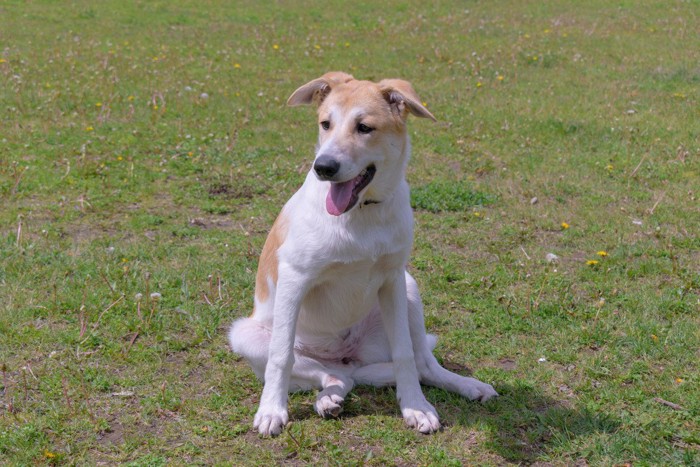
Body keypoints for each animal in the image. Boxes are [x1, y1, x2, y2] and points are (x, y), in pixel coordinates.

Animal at [230, 71, 498, 436]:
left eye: (364, 127)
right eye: (325, 123)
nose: (323, 167)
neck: (361, 214)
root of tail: (348, 359)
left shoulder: (393, 279)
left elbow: (404, 355)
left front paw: (415, 407)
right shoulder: (294, 278)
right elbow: (281, 355)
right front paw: (272, 409)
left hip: (410, 289)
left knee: (422, 364)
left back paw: (469, 386)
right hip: (245, 335)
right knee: (332, 375)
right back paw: (327, 398)